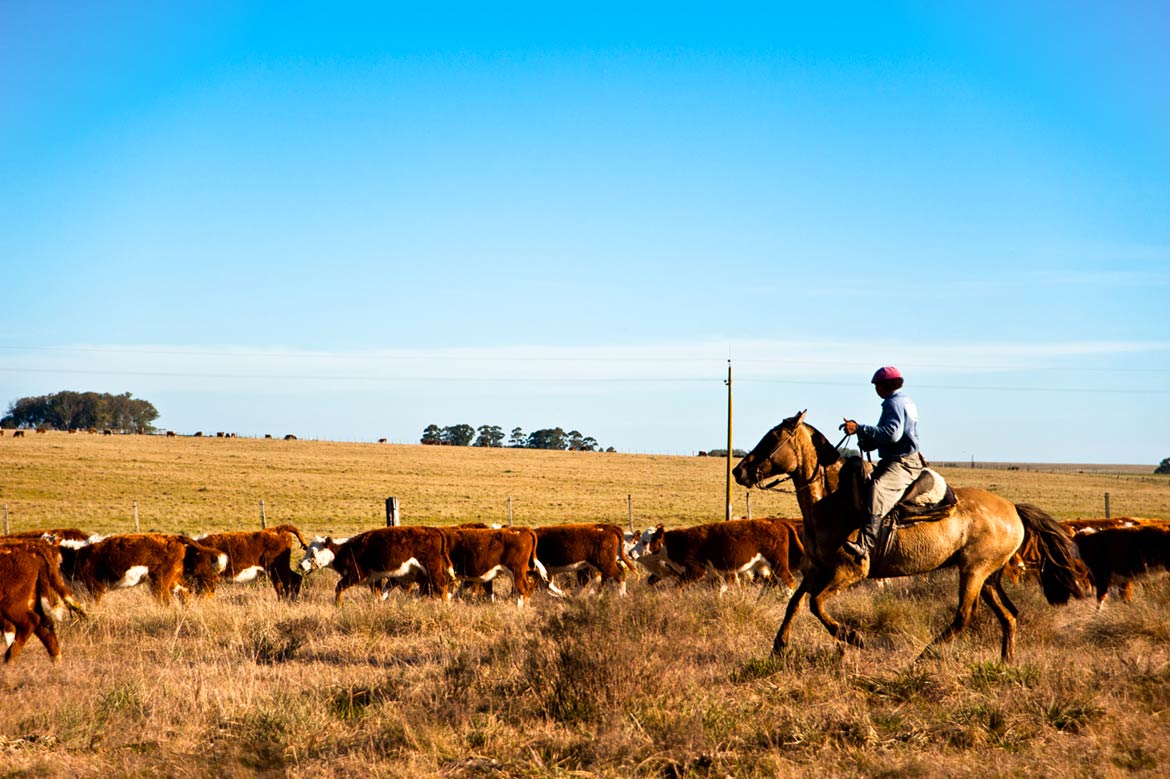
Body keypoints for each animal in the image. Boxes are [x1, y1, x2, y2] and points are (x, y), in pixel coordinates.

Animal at [301, 524, 456, 603]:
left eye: (313, 552)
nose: (301, 565)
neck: (346, 549)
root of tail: (436, 530)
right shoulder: (374, 579)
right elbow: (378, 596)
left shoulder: (355, 575)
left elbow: (338, 587)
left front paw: (338, 606)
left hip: (433, 569)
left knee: (442, 586)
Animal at [631, 519, 804, 591]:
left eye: (645, 541)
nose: (631, 552)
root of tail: (777, 523)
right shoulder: (718, 574)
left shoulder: (696, 570)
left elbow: (678, 587)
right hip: (762, 566)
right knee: (769, 583)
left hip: (779, 564)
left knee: (789, 582)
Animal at [734, 409, 1081, 659]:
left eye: (772, 438)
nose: (739, 471)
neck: (833, 500)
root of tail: (1012, 508)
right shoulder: (817, 569)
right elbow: (795, 603)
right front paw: (778, 647)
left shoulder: (848, 572)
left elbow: (816, 604)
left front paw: (852, 637)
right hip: (989, 577)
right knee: (1008, 615)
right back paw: (1005, 663)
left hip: (974, 571)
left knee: (964, 615)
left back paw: (924, 655)